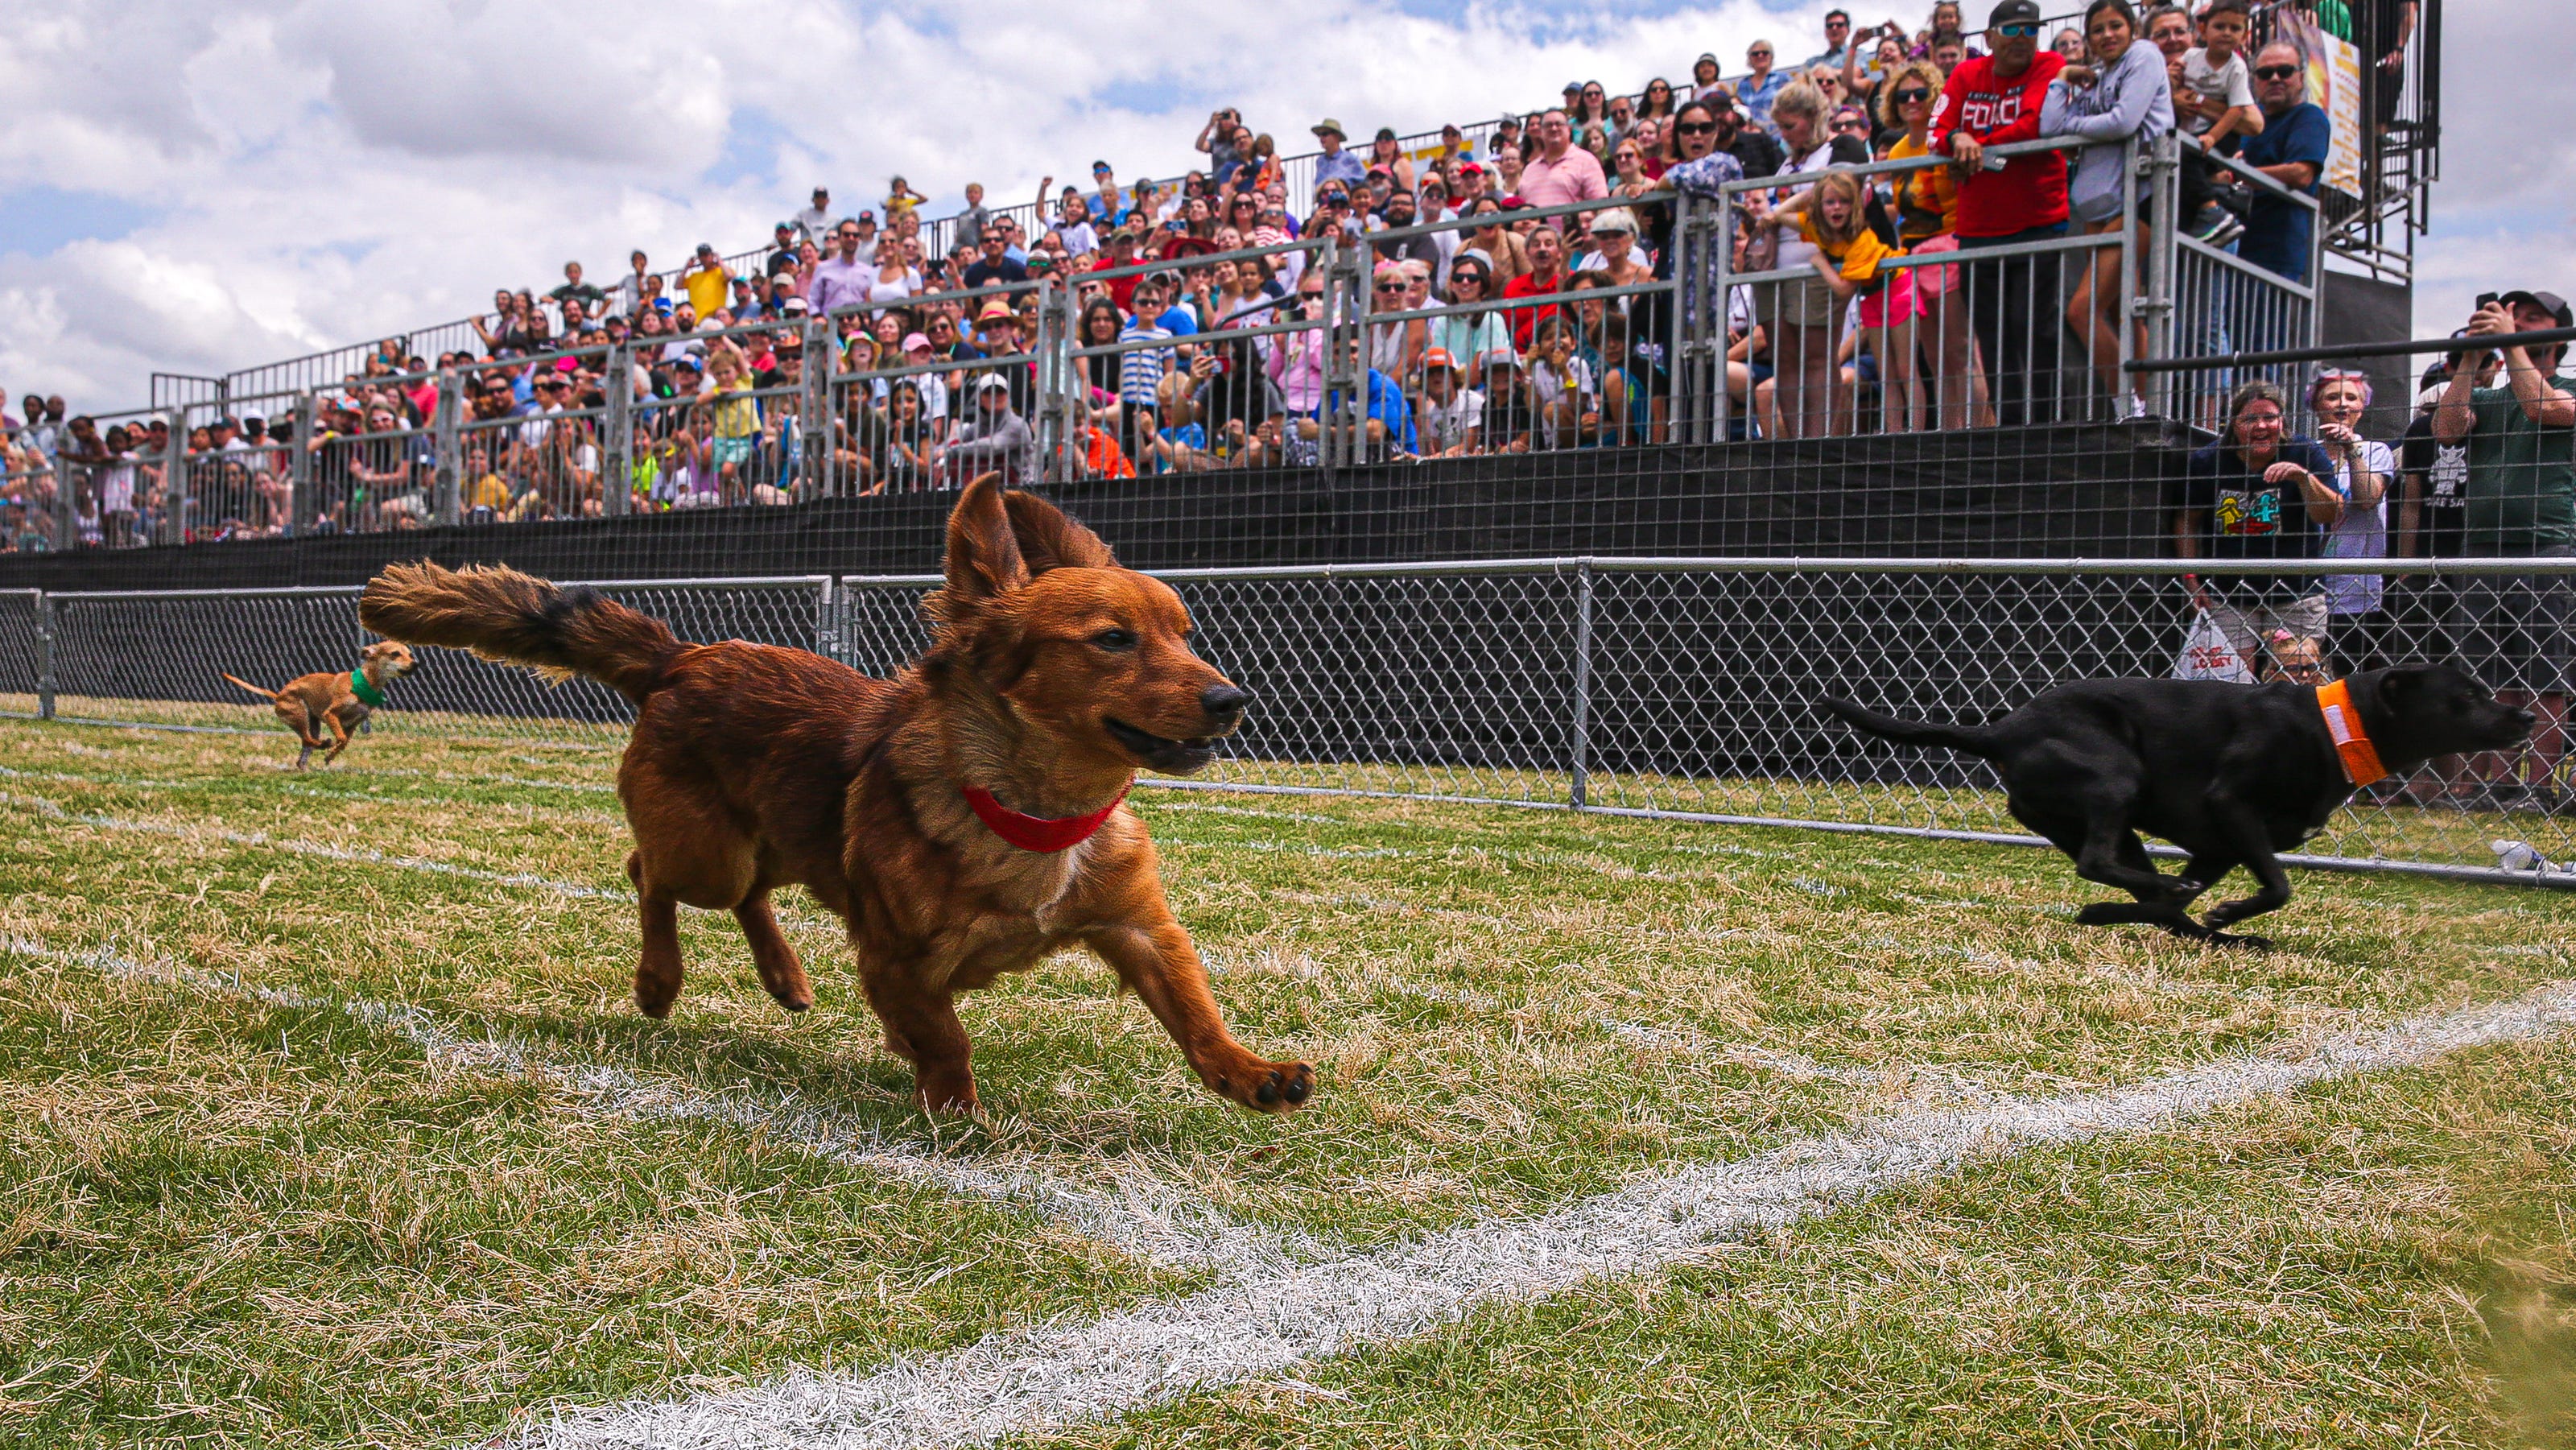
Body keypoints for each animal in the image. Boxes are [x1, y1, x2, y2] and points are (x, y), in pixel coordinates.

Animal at [224, 638, 415, 767]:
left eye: (409, 654)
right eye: (395, 654)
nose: (416, 664)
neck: (364, 684)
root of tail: (279, 695)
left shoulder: (354, 723)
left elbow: (344, 742)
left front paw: (330, 756)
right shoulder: (330, 714)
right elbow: (341, 738)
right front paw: (330, 751)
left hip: (312, 723)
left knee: (305, 747)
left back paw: (308, 762)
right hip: (300, 714)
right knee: (308, 739)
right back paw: (324, 744)